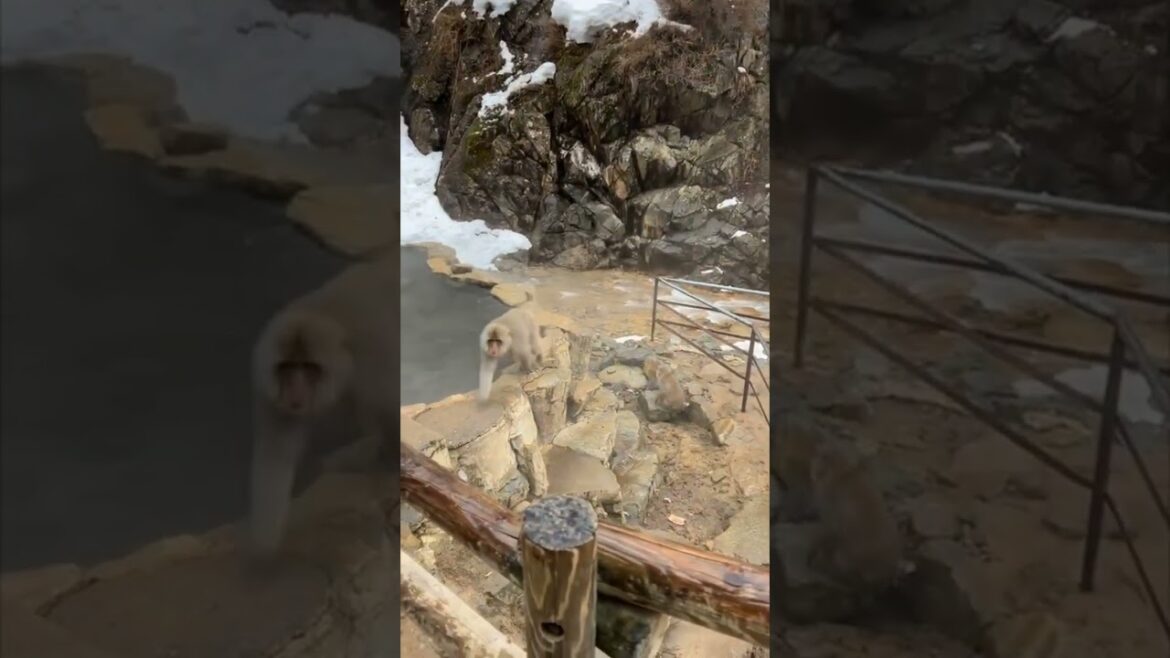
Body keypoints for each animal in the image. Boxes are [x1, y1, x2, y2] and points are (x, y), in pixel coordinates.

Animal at [248, 257, 396, 556]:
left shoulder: (376, 365)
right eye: (286, 368)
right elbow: (275, 455)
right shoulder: (267, 387)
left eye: (309, 368)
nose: (294, 392)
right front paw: (265, 549)